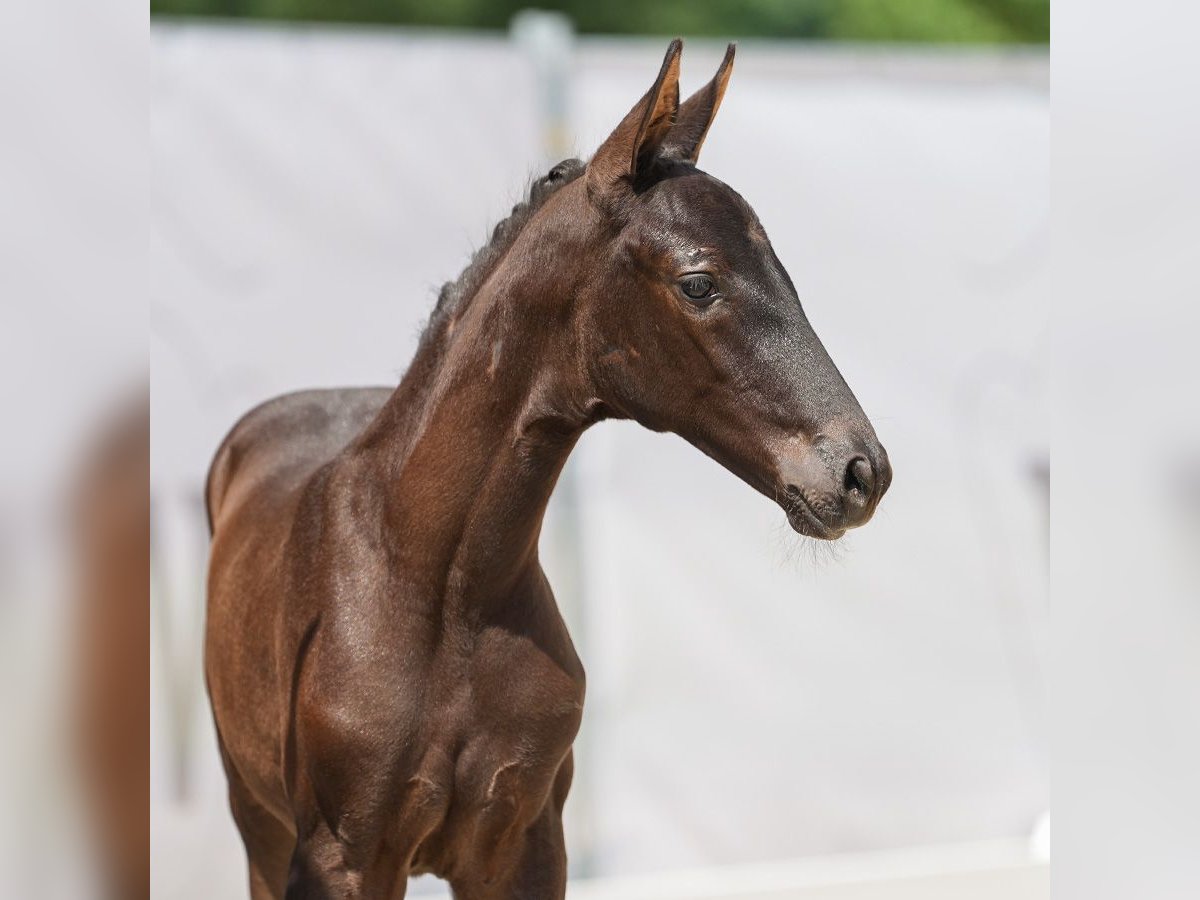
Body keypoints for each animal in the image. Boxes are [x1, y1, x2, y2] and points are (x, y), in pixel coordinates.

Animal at [201, 44, 888, 900]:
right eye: (699, 282)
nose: (861, 471)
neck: (441, 591)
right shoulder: (339, 858)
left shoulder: (525, 845)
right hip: (257, 822)